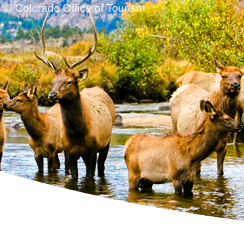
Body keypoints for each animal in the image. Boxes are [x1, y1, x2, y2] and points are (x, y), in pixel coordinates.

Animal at [34, 11, 116, 181]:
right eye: (53, 81)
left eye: (69, 81)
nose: (52, 95)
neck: (77, 134)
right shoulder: (68, 152)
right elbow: (74, 176)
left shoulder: (92, 151)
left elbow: (90, 177)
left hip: (106, 142)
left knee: (102, 167)